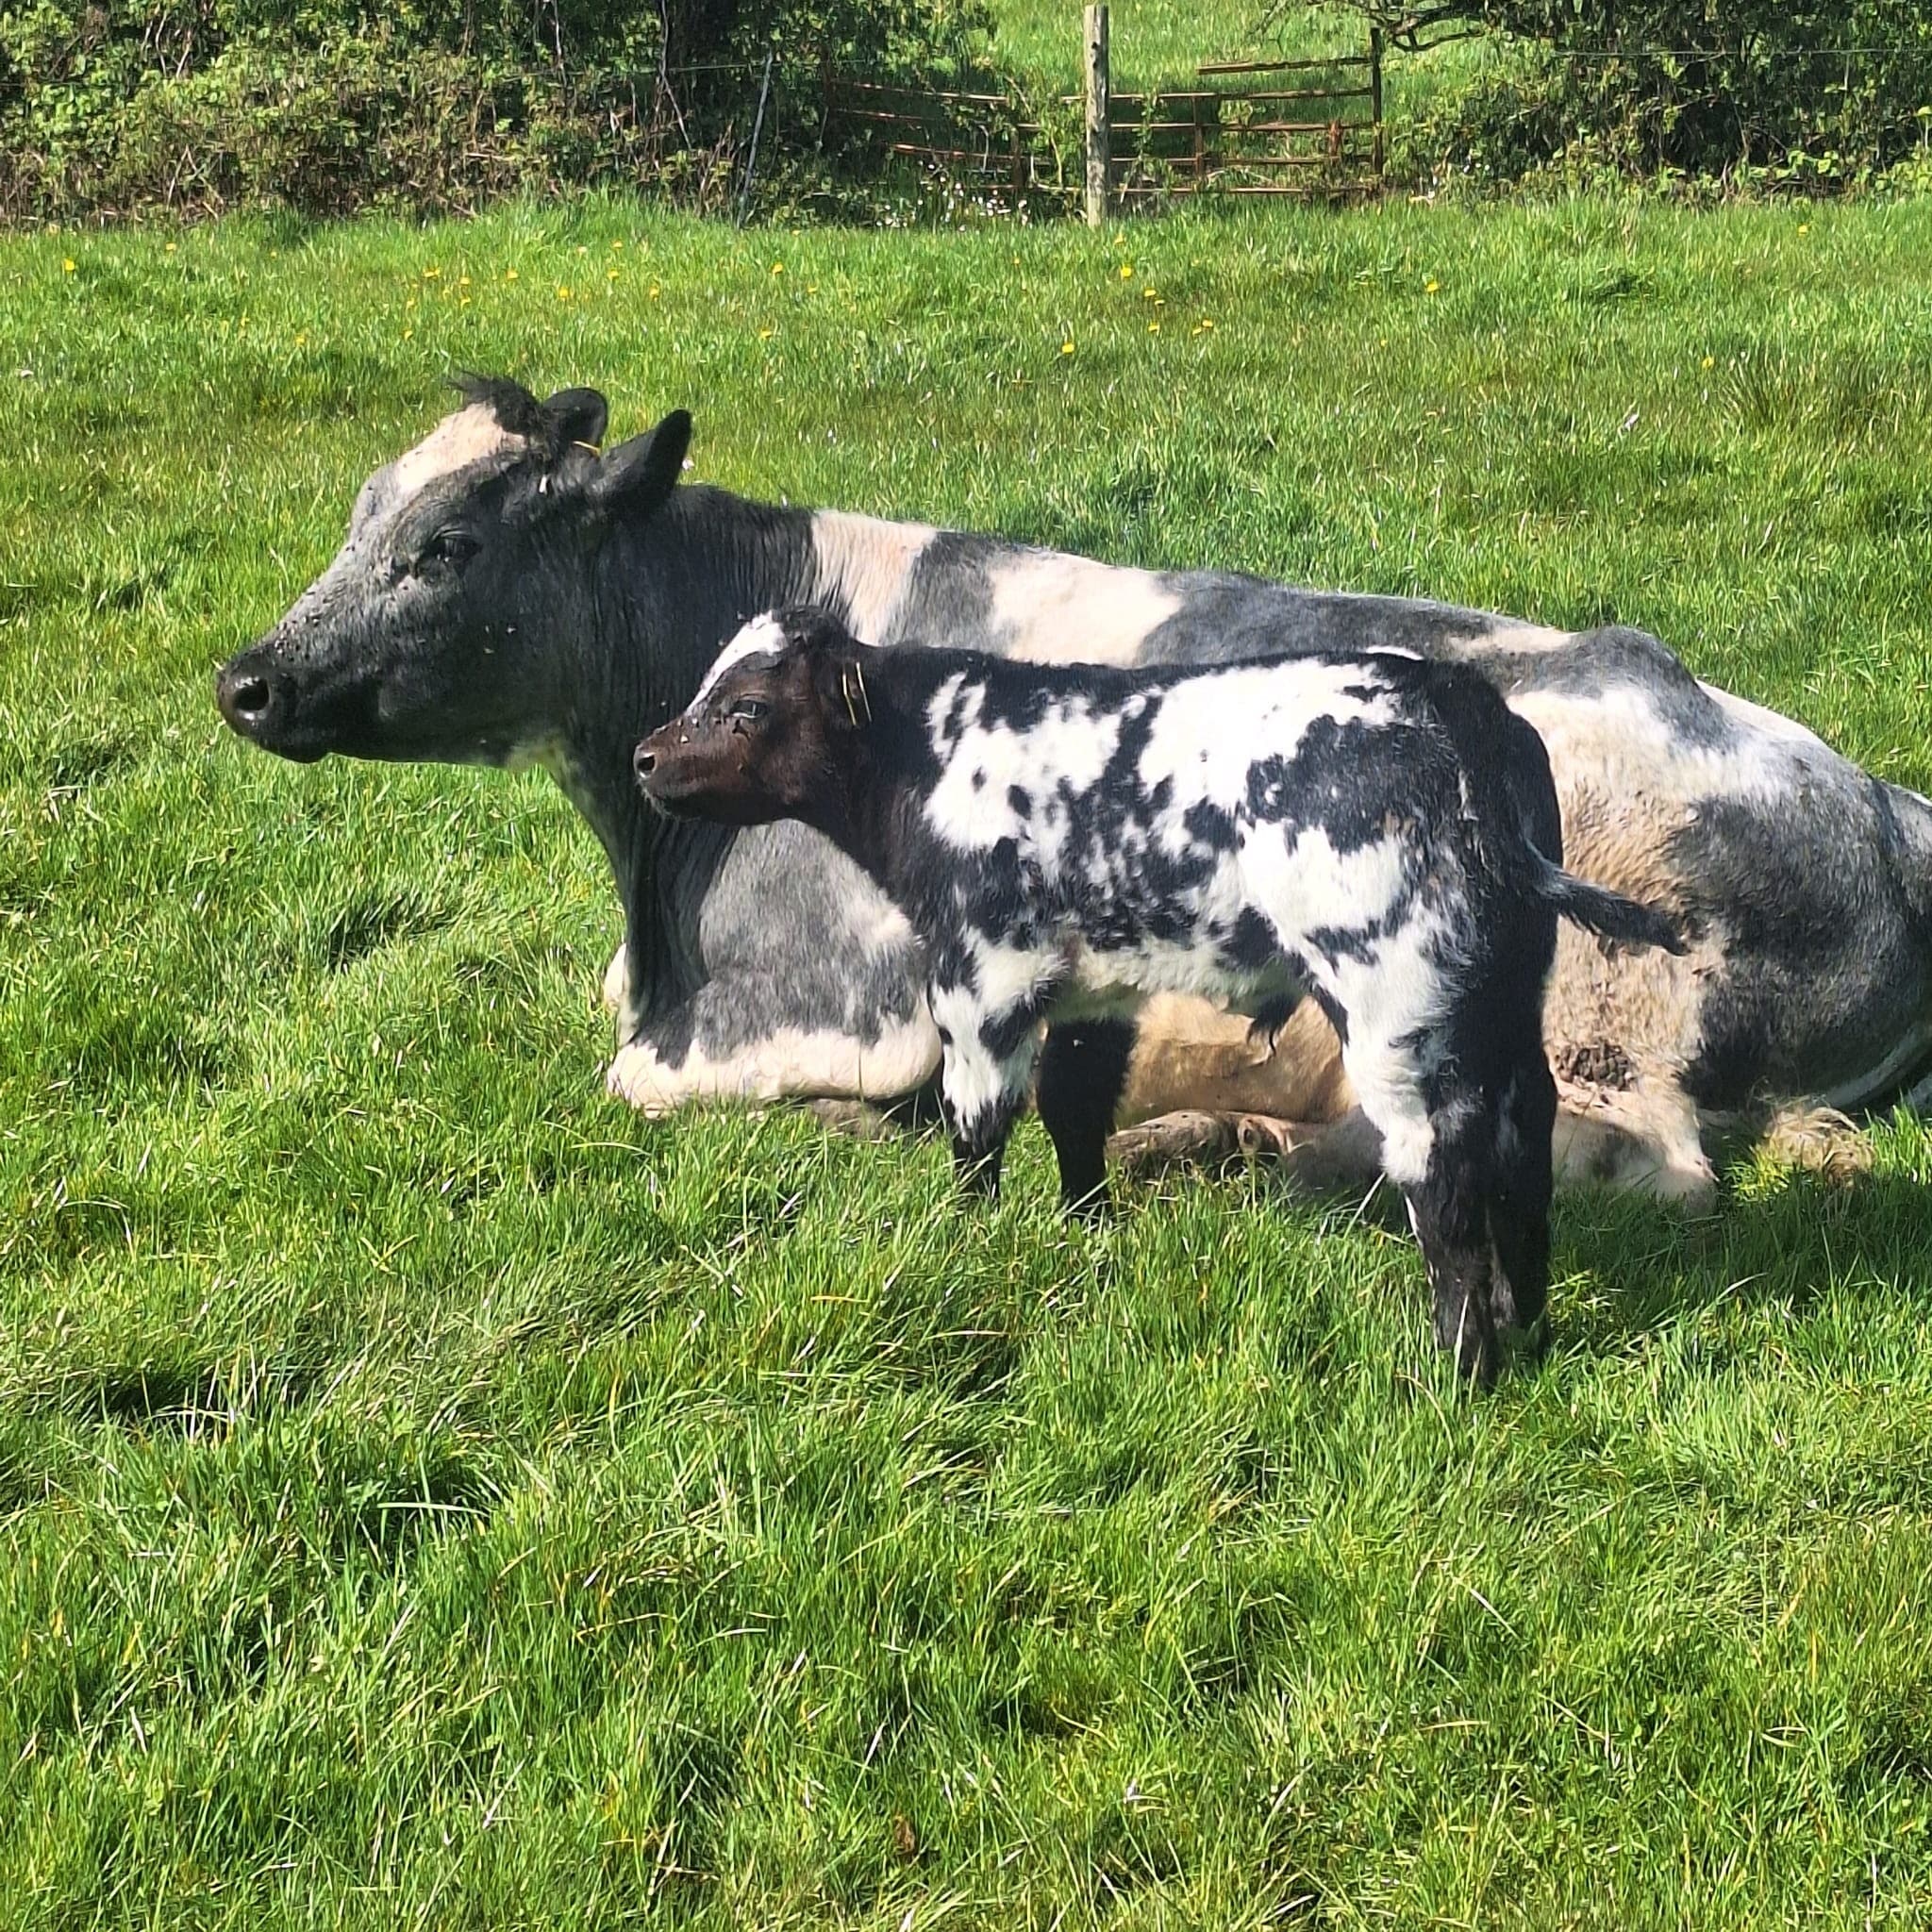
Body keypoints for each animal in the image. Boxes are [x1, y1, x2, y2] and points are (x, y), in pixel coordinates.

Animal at [215, 377, 1932, 1204]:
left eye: (445, 546)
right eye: (360, 513)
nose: (245, 680)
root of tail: (1876, 803)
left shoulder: (826, 1001)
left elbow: (640, 1084)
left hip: (1587, 982)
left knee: (1624, 1156)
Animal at [637, 609, 1688, 1381]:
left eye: (745, 705)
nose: (646, 756)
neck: (928, 760)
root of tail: (1457, 705)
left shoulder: (981, 972)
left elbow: (977, 1123)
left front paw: (967, 1233)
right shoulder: (1093, 986)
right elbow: (1075, 1107)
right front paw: (1083, 1232)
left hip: (1399, 1009)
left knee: (1445, 1176)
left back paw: (1456, 1370)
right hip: (1504, 996)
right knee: (1523, 1145)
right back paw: (1529, 1328)